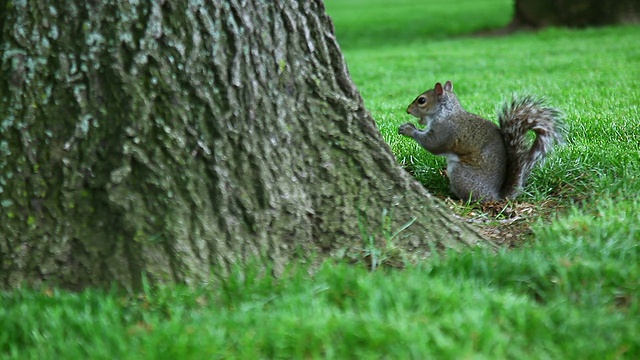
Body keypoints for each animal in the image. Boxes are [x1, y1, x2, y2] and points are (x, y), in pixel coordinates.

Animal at [398, 80, 564, 201]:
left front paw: (408, 129)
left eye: (422, 100)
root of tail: (495, 196)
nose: (407, 110)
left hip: (460, 174)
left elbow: (433, 145)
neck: (445, 112)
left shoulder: (445, 131)